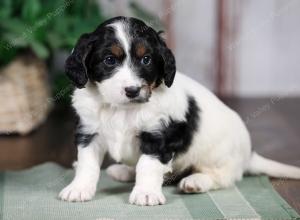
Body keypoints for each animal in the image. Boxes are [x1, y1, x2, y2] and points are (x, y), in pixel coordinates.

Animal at [58, 16, 300, 205]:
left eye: (146, 59)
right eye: (109, 60)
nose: (133, 90)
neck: (122, 109)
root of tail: (249, 155)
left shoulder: (159, 136)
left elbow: (148, 165)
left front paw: (146, 193)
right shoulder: (90, 132)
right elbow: (87, 164)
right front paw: (79, 188)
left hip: (219, 158)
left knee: (222, 178)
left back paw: (195, 181)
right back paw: (123, 171)